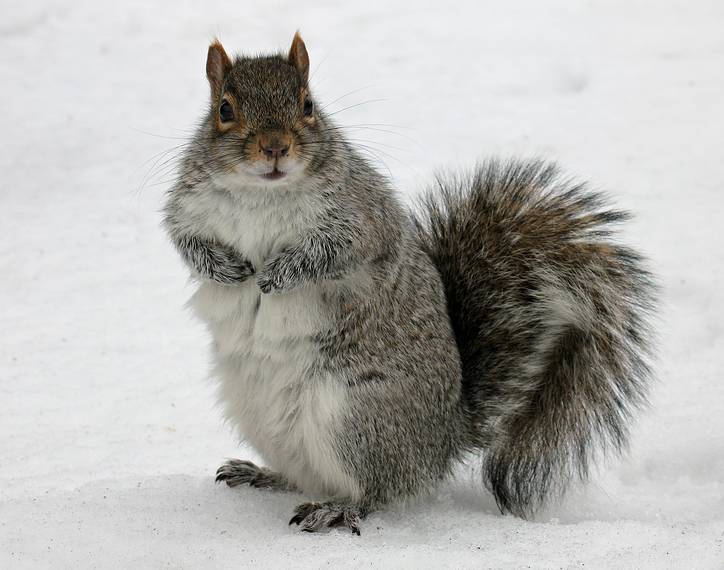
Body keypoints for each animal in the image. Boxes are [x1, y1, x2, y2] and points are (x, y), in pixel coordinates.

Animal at [163, 33, 656, 536]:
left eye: (308, 104)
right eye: (224, 109)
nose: (275, 147)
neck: (263, 193)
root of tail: (445, 437)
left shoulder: (362, 219)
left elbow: (333, 253)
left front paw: (279, 274)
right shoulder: (188, 209)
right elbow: (186, 242)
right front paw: (224, 269)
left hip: (356, 417)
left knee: (379, 489)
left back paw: (339, 508)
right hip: (262, 415)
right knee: (307, 475)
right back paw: (262, 473)